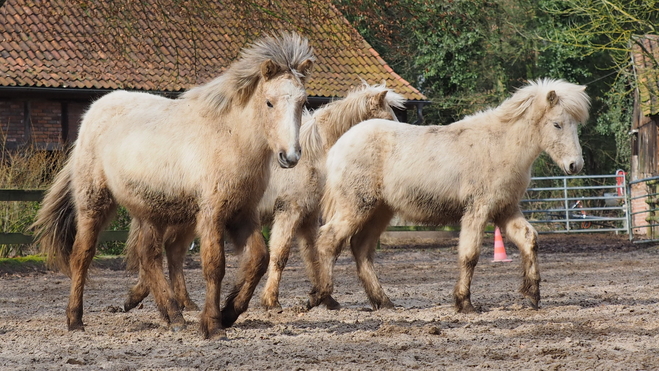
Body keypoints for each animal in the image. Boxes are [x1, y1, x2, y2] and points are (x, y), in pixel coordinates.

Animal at [32, 32, 316, 340]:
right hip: (94, 202)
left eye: (302, 102)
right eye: (269, 102)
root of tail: (93, 111)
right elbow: (214, 266)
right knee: (82, 256)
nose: (290, 156)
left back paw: (173, 315)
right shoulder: (213, 214)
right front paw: (213, 325)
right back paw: (76, 319)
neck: (230, 138)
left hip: (149, 211)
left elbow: (259, 259)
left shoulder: (242, 213)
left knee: (149, 257)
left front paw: (230, 312)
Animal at [121, 83, 404, 312]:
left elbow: (312, 255)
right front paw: (272, 301)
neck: (311, 154)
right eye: (386, 118)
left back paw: (171, 301)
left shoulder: (307, 217)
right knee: (164, 251)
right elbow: (280, 254)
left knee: (171, 251)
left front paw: (324, 299)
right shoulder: (289, 211)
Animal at [306, 77, 592, 314]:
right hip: (356, 207)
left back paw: (383, 301)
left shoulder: (506, 209)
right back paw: (324, 298)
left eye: (575, 125)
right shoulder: (478, 210)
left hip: (380, 211)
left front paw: (532, 295)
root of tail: (339, 145)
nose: (575, 165)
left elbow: (528, 239)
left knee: (361, 248)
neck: (500, 145)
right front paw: (464, 303)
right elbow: (470, 255)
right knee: (329, 241)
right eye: (557, 124)